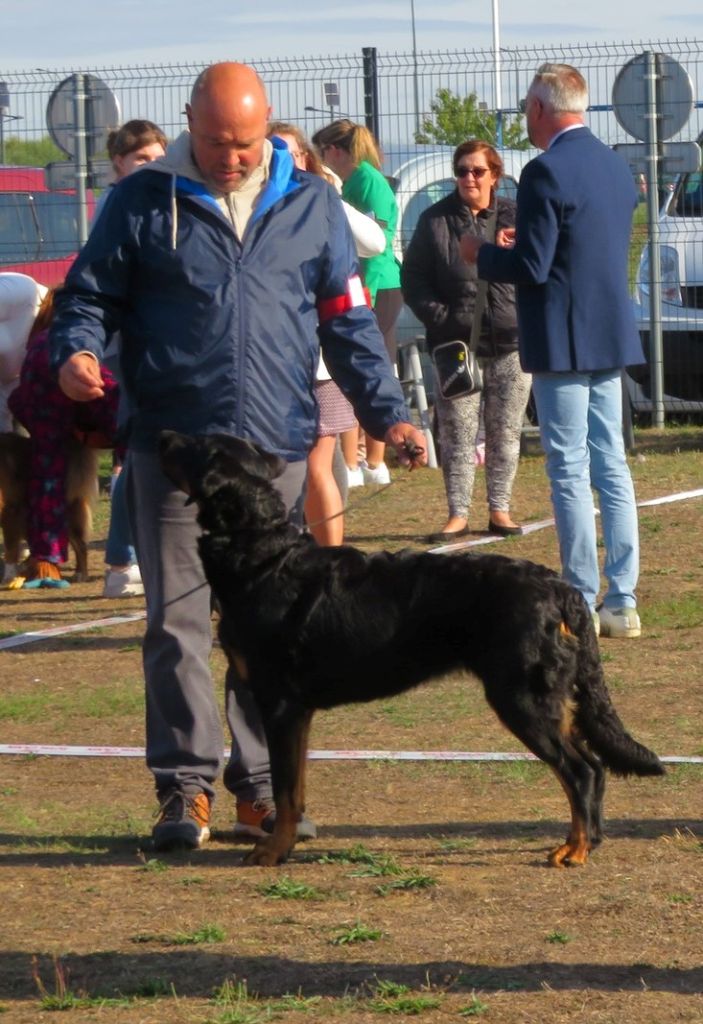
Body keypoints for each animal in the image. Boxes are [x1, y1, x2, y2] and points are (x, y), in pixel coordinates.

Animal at [158, 428, 667, 868]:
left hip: (523, 698)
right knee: (592, 768)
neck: (262, 555)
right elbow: (295, 787)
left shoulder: (280, 704)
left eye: (194, 445)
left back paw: (575, 849)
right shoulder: (297, 712)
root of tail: (562, 589)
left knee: (580, 770)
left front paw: (272, 850)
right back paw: (585, 841)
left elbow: (284, 790)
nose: (161, 434)